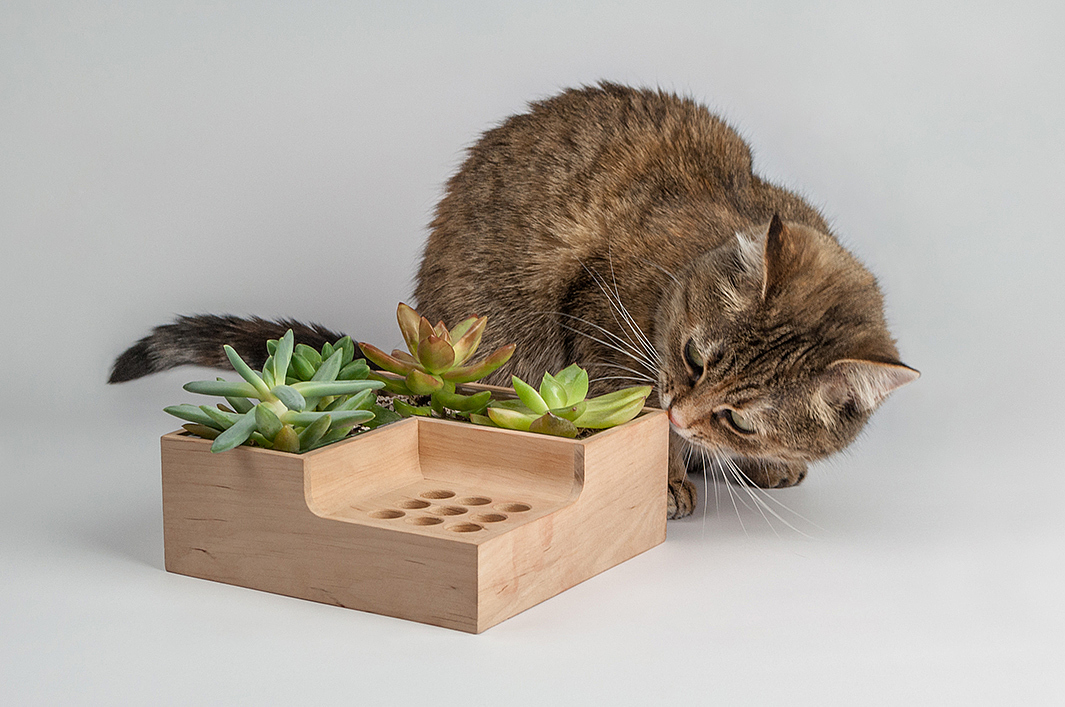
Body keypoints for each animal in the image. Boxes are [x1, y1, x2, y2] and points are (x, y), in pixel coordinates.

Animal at [112, 83, 920, 519]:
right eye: (693, 355)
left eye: (741, 417)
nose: (683, 411)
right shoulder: (603, 326)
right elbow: (635, 419)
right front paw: (661, 473)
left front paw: (747, 465)